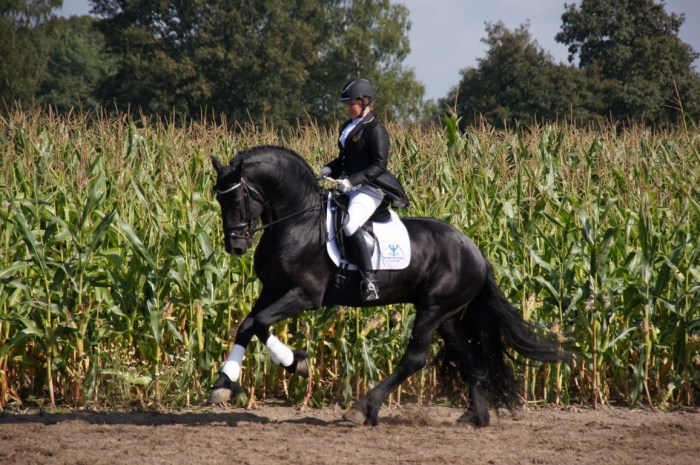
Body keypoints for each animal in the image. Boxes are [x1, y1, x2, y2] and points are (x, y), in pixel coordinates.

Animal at [206, 144, 564, 424]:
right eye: (218, 200)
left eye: (237, 198)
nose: (235, 247)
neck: (298, 222)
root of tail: (475, 252)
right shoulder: (273, 289)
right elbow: (247, 325)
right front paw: (223, 384)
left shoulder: (306, 295)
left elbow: (261, 323)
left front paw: (298, 363)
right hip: (447, 316)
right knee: (471, 358)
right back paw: (475, 416)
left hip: (433, 310)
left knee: (415, 359)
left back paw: (362, 408)